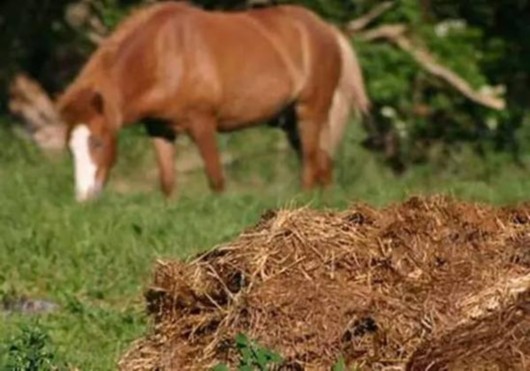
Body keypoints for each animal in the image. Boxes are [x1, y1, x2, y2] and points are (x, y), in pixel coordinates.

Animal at [54, 1, 368, 202]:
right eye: (70, 147)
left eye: (98, 142)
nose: (84, 197)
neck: (163, 55)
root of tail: (327, 29)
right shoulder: (160, 130)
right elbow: (168, 183)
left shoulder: (203, 124)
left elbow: (216, 180)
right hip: (291, 122)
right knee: (323, 164)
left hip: (310, 112)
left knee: (311, 166)